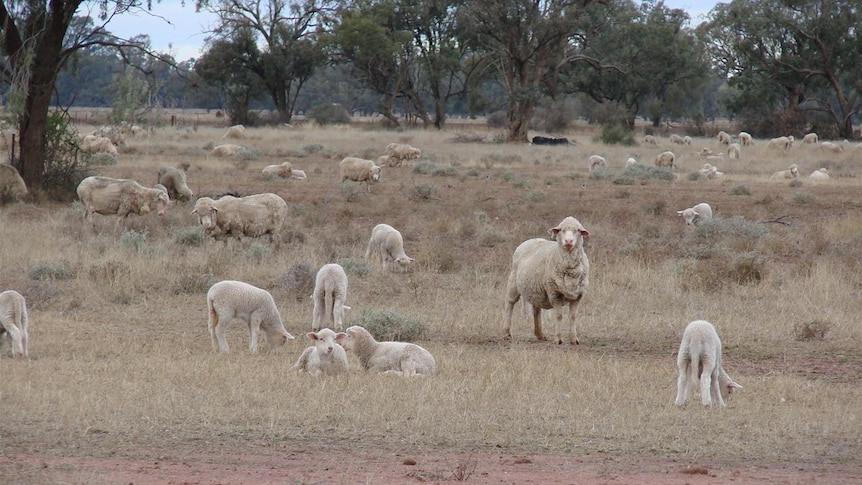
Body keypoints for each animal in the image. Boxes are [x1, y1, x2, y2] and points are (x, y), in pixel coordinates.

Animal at [502, 216, 592, 344]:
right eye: (561, 230)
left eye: (577, 230)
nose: (568, 241)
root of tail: (532, 239)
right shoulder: (555, 294)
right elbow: (559, 316)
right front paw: (558, 339)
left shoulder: (578, 295)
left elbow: (573, 317)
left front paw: (574, 339)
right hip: (513, 282)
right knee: (509, 304)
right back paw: (506, 333)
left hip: (535, 289)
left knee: (536, 310)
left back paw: (539, 334)